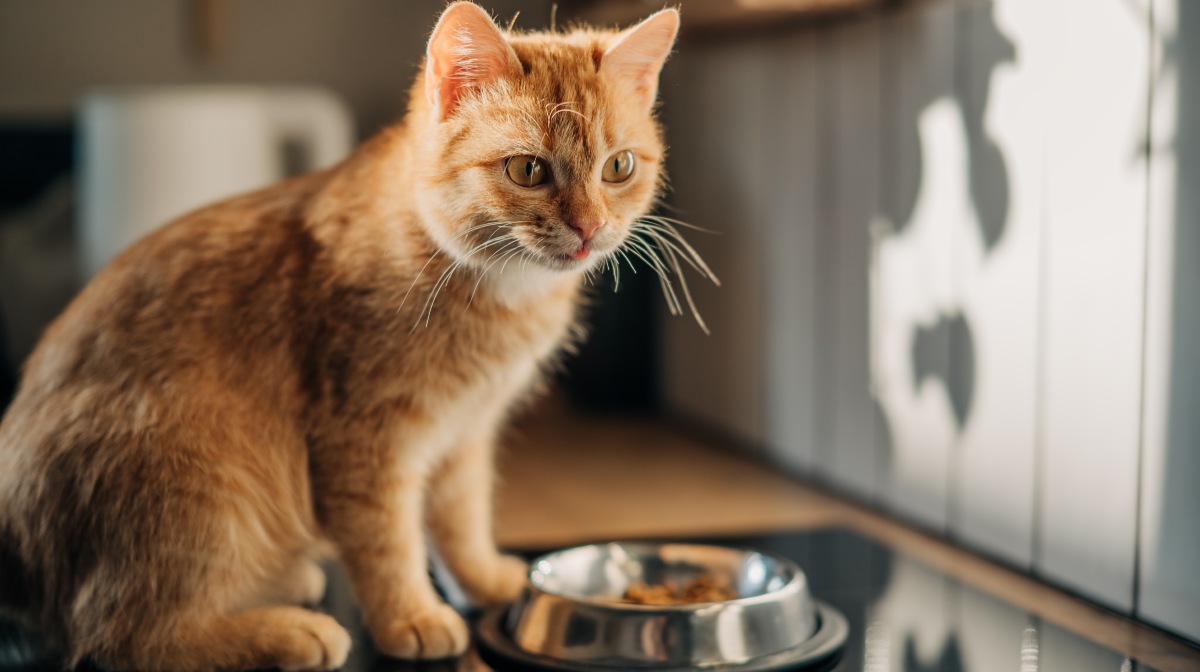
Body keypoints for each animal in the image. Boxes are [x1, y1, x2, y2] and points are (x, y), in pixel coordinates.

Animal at [0, 5, 686, 672]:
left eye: (618, 167)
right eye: (527, 169)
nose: (590, 228)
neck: (495, 294)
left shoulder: (465, 434)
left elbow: (460, 522)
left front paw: (486, 581)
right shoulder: (364, 441)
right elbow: (387, 541)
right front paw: (411, 617)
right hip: (202, 477)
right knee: (120, 634)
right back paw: (289, 632)